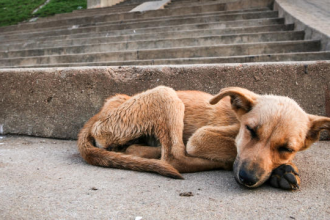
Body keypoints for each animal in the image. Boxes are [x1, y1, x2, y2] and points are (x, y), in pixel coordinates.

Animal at [78, 87, 330, 190]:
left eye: (286, 148)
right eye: (250, 130)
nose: (248, 178)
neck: (237, 118)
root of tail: (98, 115)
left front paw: (282, 168)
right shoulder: (201, 137)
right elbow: (232, 150)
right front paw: (282, 170)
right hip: (165, 93)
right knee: (175, 157)